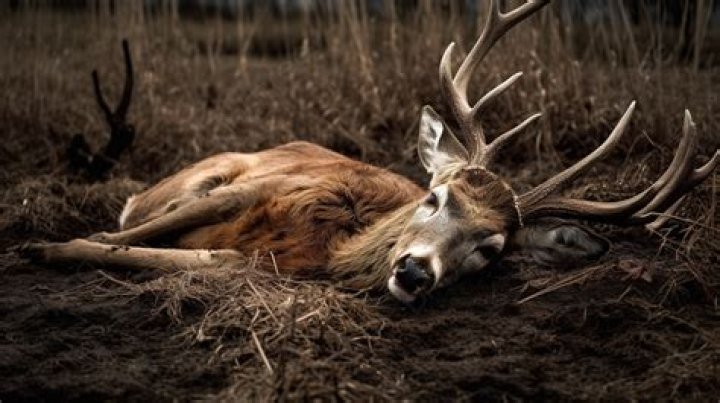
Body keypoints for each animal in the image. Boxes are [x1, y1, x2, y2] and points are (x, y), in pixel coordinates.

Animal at [19, 0, 719, 304]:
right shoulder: (252, 190)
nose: (414, 271)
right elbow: (115, 241)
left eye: (490, 250)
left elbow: (175, 259)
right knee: (138, 213)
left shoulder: (263, 266)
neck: (329, 240)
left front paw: (47, 249)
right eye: (435, 197)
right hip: (205, 174)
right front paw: (38, 247)